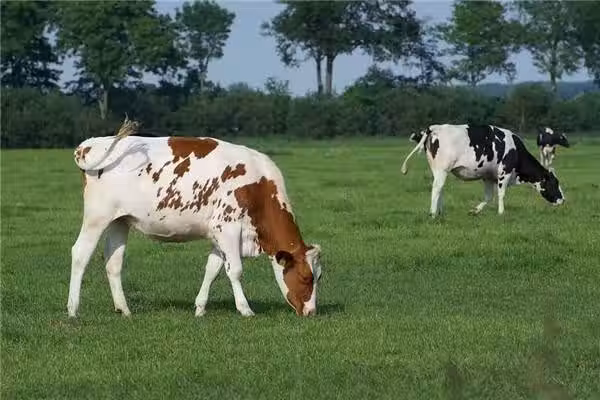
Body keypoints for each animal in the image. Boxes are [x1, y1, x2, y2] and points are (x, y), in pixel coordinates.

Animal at [69, 118, 323, 318]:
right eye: (305, 278)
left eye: (318, 277)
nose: (311, 312)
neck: (258, 188)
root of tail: (89, 145)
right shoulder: (227, 228)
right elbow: (235, 270)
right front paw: (245, 309)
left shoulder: (218, 235)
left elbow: (212, 269)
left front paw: (200, 308)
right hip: (97, 217)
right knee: (80, 253)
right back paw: (73, 309)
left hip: (119, 220)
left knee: (113, 262)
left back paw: (124, 309)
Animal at [401, 124, 565, 217]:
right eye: (555, 183)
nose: (563, 200)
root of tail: (435, 127)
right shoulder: (504, 172)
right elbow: (501, 194)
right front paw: (501, 212)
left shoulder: (488, 176)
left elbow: (488, 197)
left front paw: (475, 211)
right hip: (442, 169)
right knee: (436, 188)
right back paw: (433, 213)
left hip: (438, 170)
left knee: (439, 188)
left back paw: (440, 212)